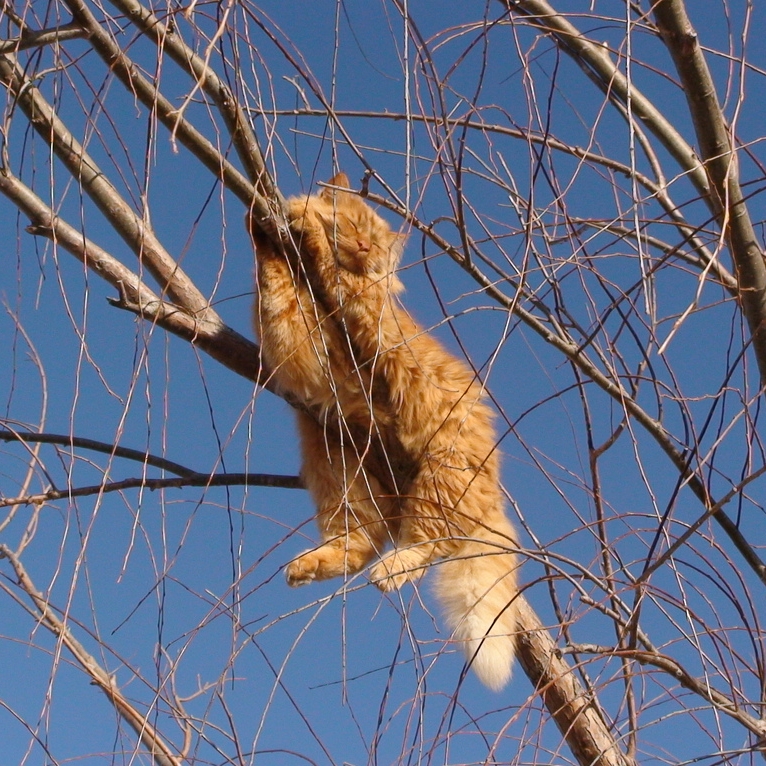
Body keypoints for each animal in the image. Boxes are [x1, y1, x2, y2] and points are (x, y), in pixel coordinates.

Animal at [252, 176, 520, 696]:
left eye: (374, 244)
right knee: (360, 541)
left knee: (422, 544)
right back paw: (312, 564)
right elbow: (272, 287)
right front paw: (269, 229)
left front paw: (306, 230)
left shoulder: (361, 307)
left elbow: (337, 276)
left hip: (437, 479)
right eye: (356, 226)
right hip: (339, 465)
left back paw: (391, 569)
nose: (361, 247)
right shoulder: (296, 346)